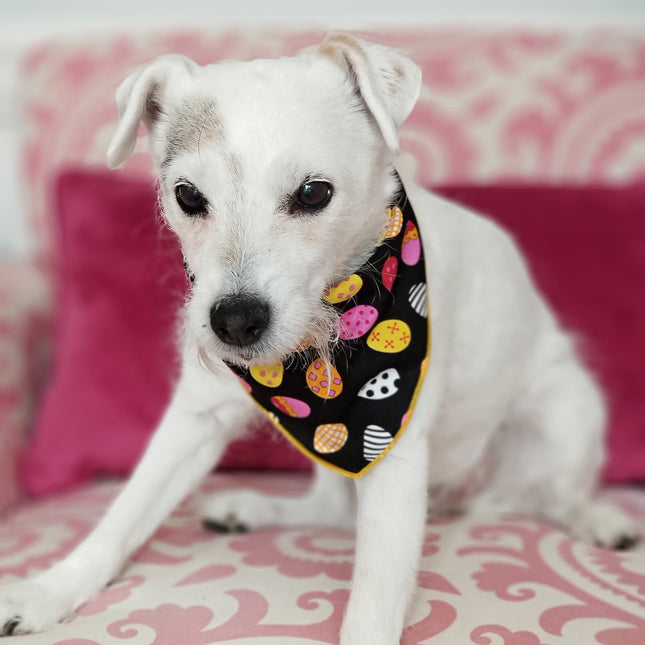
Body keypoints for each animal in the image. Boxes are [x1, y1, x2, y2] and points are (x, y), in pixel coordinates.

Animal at [0, 35, 640, 644]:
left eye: (313, 194)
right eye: (187, 196)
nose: (234, 321)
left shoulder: (393, 444)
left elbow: (376, 595)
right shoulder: (195, 418)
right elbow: (125, 511)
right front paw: (52, 590)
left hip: (564, 413)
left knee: (553, 495)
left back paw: (598, 519)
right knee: (333, 511)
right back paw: (251, 507)